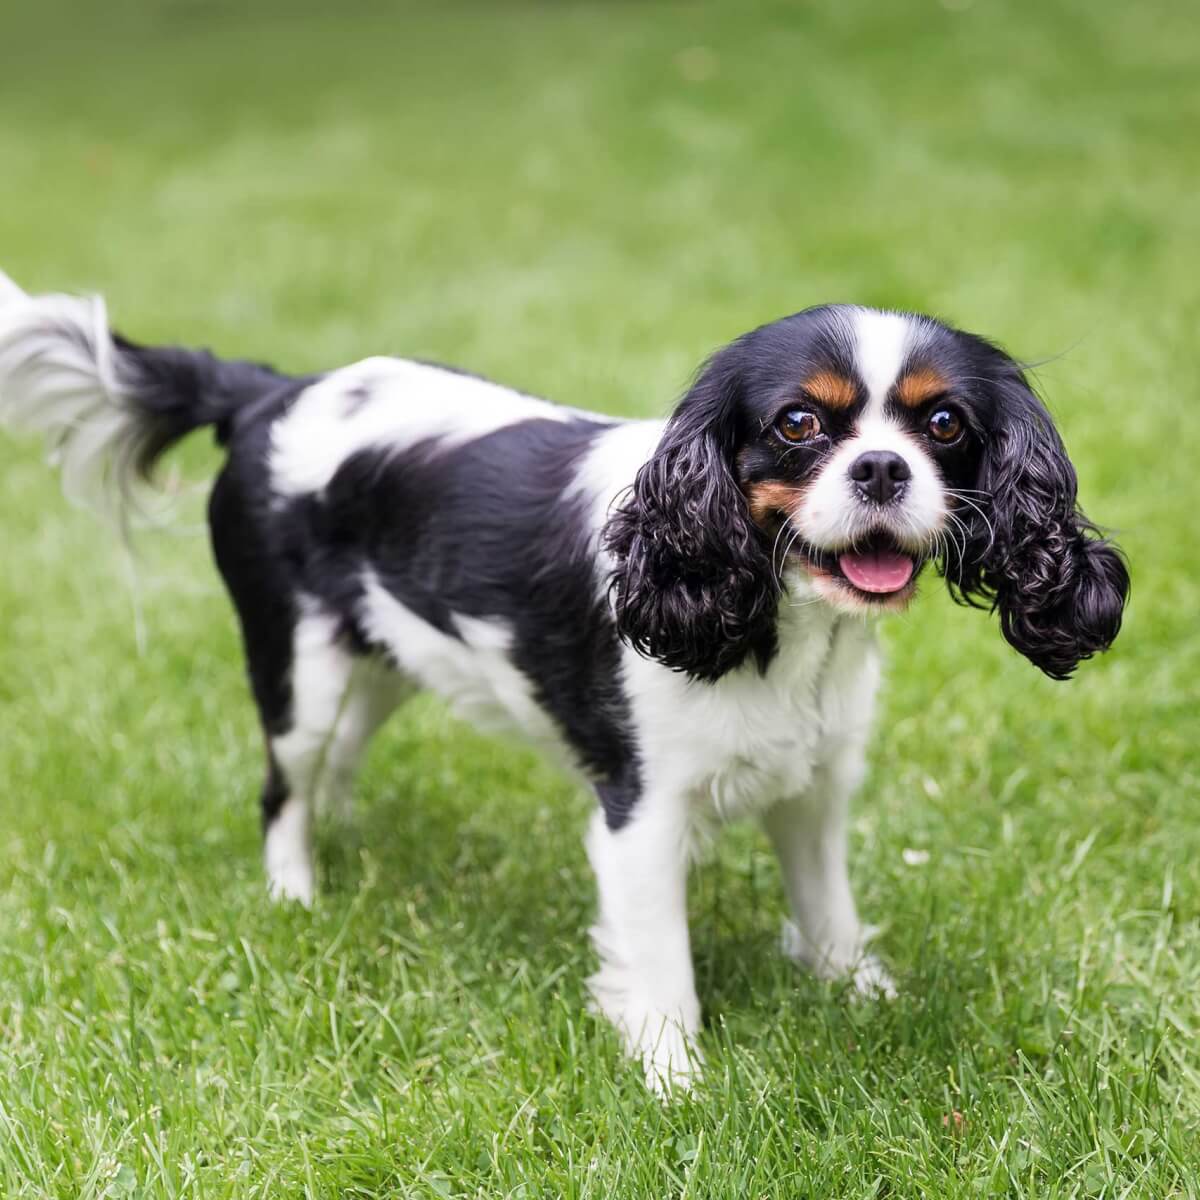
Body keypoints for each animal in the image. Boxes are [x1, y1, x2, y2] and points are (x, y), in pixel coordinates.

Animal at [0, 270, 1123, 1089]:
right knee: (284, 787)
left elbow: (831, 914)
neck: (781, 617)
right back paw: (298, 897)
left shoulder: (815, 784)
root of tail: (271, 391)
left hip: (386, 659)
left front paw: (863, 997)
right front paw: (676, 1083)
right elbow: (660, 962)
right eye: (800, 425)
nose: (882, 470)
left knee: (338, 764)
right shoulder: (641, 812)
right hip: (299, 669)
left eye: (944, 426)